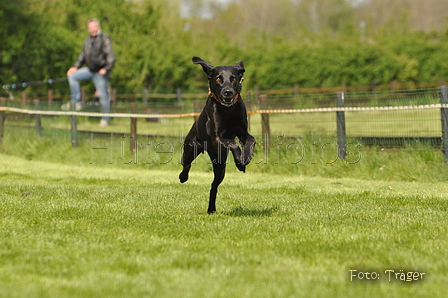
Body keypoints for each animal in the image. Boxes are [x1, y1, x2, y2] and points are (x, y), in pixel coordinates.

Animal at [178, 56, 256, 214]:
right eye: (218, 79)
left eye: (234, 78)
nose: (228, 92)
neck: (228, 110)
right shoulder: (216, 138)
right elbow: (232, 142)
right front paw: (240, 160)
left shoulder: (243, 133)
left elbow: (251, 139)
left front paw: (245, 158)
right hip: (190, 149)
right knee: (186, 164)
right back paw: (183, 177)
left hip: (220, 165)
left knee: (214, 185)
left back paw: (211, 209)